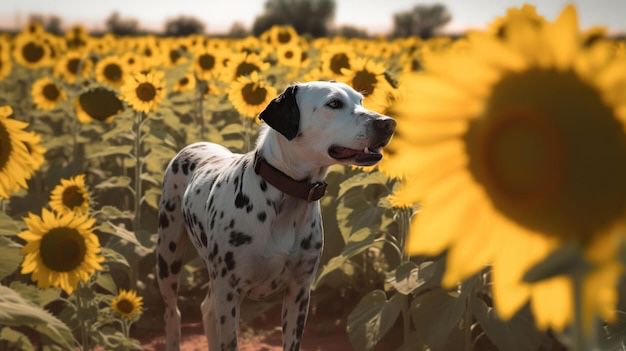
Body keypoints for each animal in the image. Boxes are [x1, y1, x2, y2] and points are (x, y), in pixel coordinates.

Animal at [154, 81, 392, 350]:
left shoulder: (299, 292)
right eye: (334, 103)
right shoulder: (229, 292)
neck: (285, 198)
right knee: (173, 313)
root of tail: (196, 145)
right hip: (168, 258)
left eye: (361, 100)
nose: (387, 123)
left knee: (207, 308)